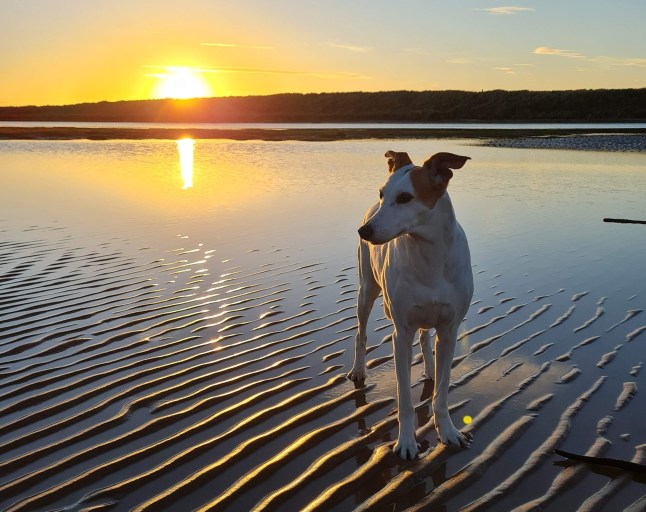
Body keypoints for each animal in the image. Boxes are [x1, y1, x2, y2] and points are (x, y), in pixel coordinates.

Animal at [350, 150, 476, 458]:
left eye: (406, 197)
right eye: (382, 193)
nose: (363, 232)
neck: (428, 254)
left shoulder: (449, 330)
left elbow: (442, 391)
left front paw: (448, 431)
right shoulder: (401, 333)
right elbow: (404, 396)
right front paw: (406, 441)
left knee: (425, 339)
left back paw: (429, 369)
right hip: (366, 290)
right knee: (360, 333)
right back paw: (358, 369)